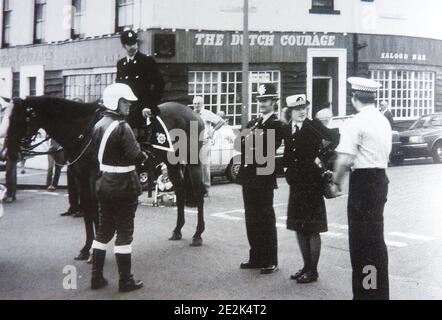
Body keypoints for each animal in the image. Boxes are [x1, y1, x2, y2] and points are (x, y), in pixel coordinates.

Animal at [6, 95, 207, 260]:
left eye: (21, 119)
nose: (9, 151)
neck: (83, 131)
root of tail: (193, 113)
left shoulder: (94, 178)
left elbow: (96, 212)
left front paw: (96, 249)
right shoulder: (81, 179)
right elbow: (88, 212)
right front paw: (86, 249)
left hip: (193, 163)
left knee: (198, 193)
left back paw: (198, 234)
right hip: (172, 164)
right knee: (180, 190)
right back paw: (178, 229)